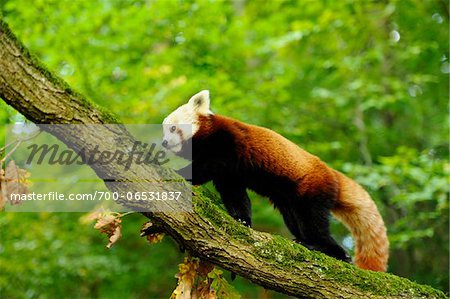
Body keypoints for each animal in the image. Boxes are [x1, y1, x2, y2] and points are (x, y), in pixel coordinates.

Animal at [163, 89, 388, 272]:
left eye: (173, 128)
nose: (164, 142)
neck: (205, 134)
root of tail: (332, 173)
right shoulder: (230, 175)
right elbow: (235, 195)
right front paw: (242, 220)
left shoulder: (226, 143)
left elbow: (205, 168)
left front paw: (179, 173)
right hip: (289, 201)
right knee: (295, 220)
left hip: (313, 189)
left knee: (314, 223)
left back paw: (331, 250)